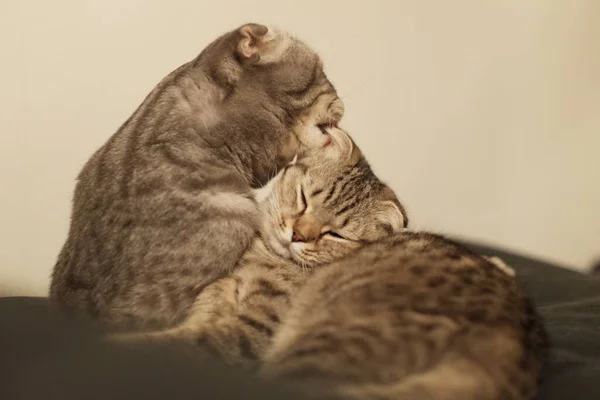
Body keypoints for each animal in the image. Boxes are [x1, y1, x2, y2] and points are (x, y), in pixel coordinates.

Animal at [112, 126, 408, 360]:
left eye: (336, 234)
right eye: (304, 198)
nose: (297, 235)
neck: (261, 255)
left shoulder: (251, 328)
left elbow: (183, 343)